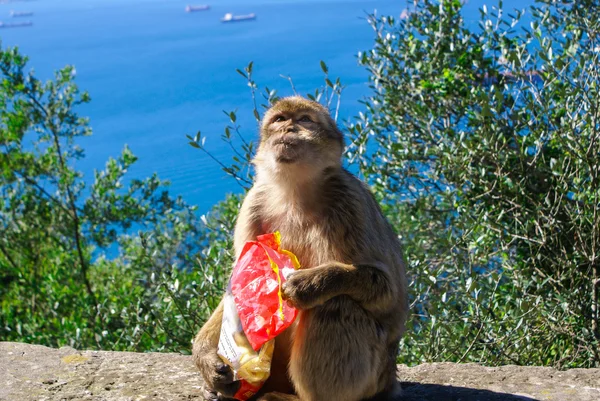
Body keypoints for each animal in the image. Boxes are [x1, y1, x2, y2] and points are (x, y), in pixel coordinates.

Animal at [192, 96, 408, 400]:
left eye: (305, 120)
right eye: (280, 120)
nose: (289, 129)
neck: (294, 192)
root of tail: (390, 379)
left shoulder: (351, 201)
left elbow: (389, 292)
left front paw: (310, 284)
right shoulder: (252, 203)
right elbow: (235, 286)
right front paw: (206, 358)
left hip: (373, 377)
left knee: (333, 304)